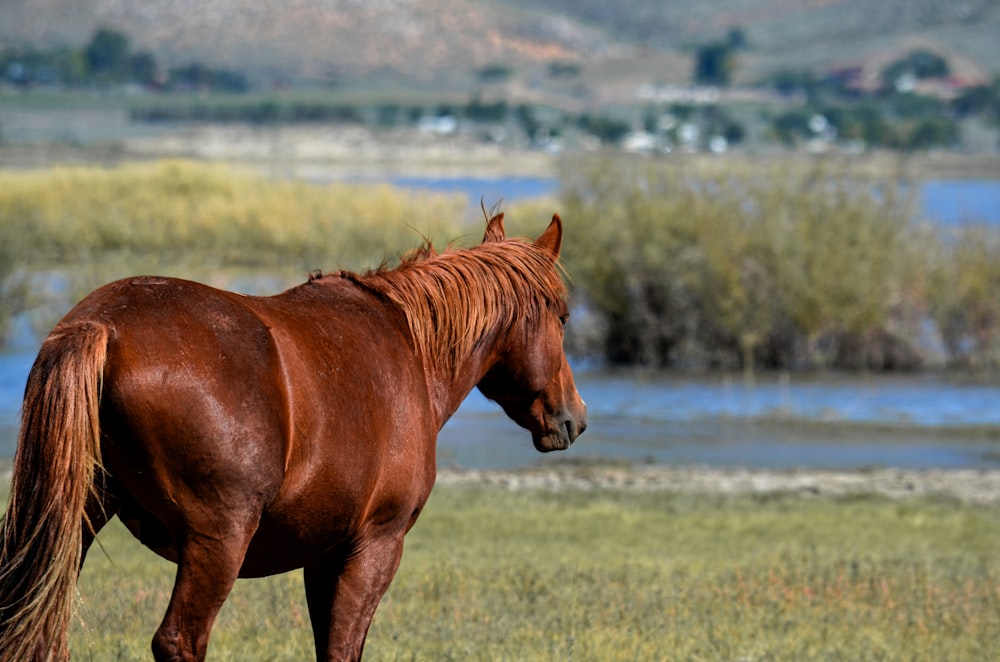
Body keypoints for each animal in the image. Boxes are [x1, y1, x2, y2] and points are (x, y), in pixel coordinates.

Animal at [0, 215, 584, 660]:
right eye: (563, 317)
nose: (573, 419)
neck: (409, 345)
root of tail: (103, 326)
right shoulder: (376, 545)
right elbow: (344, 650)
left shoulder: (323, 556)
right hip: (219, 542)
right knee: (179, 640)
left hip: (75, 522)